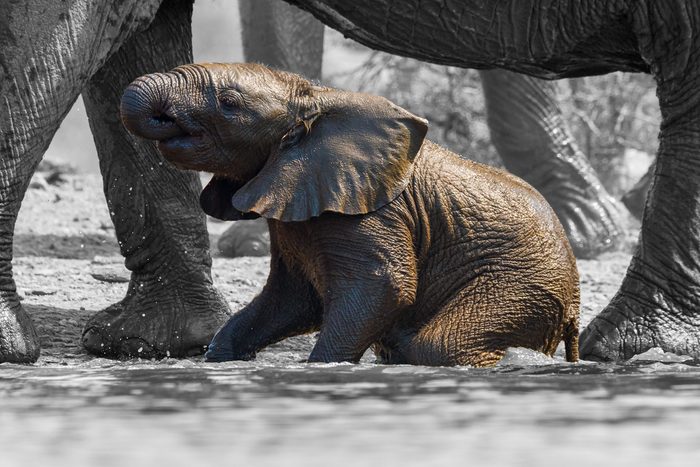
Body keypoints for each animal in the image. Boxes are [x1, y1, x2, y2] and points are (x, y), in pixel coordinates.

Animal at [119, 62, 581, 367]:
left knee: (440, 345)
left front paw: (325, 368)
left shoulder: (373, 210)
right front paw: (221, 358)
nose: (163, 118)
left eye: (229, 103)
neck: (314, 96)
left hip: (520, 286)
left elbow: (384, 286)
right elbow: (291, 299)